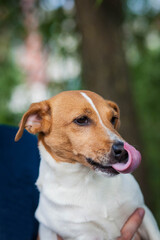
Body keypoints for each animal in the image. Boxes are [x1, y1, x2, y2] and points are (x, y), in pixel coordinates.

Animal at [14, 91, 159, 239]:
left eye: (113, 119)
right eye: (82, 120)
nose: (124, 151)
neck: (87, 180)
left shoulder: (144, 213)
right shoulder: (83, 234)